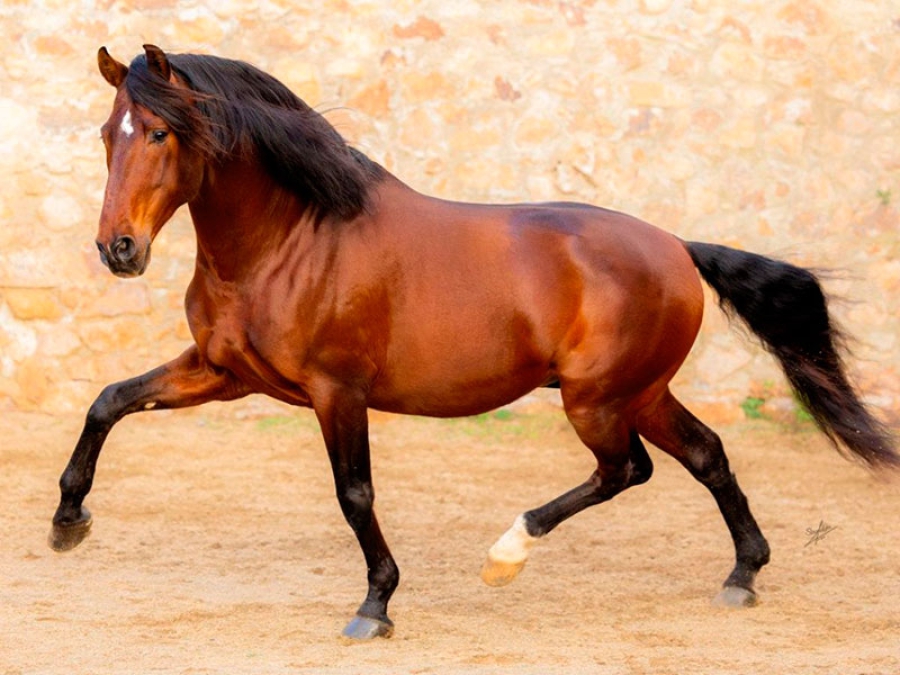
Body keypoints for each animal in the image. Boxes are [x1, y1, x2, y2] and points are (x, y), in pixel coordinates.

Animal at [50, 45, 898, 640]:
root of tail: (677, 248)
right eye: (106, 135)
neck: (290, 240)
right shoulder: (224, 372)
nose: (118, 249)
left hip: (598, 398)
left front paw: (375, 605)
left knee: (628, 468)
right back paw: (742, 575)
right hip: (642, 391)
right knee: (705, 454)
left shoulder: (336, 391)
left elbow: (355, 494)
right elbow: (108, 401)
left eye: (161, 132)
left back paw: (507, 553)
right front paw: (68, 522)